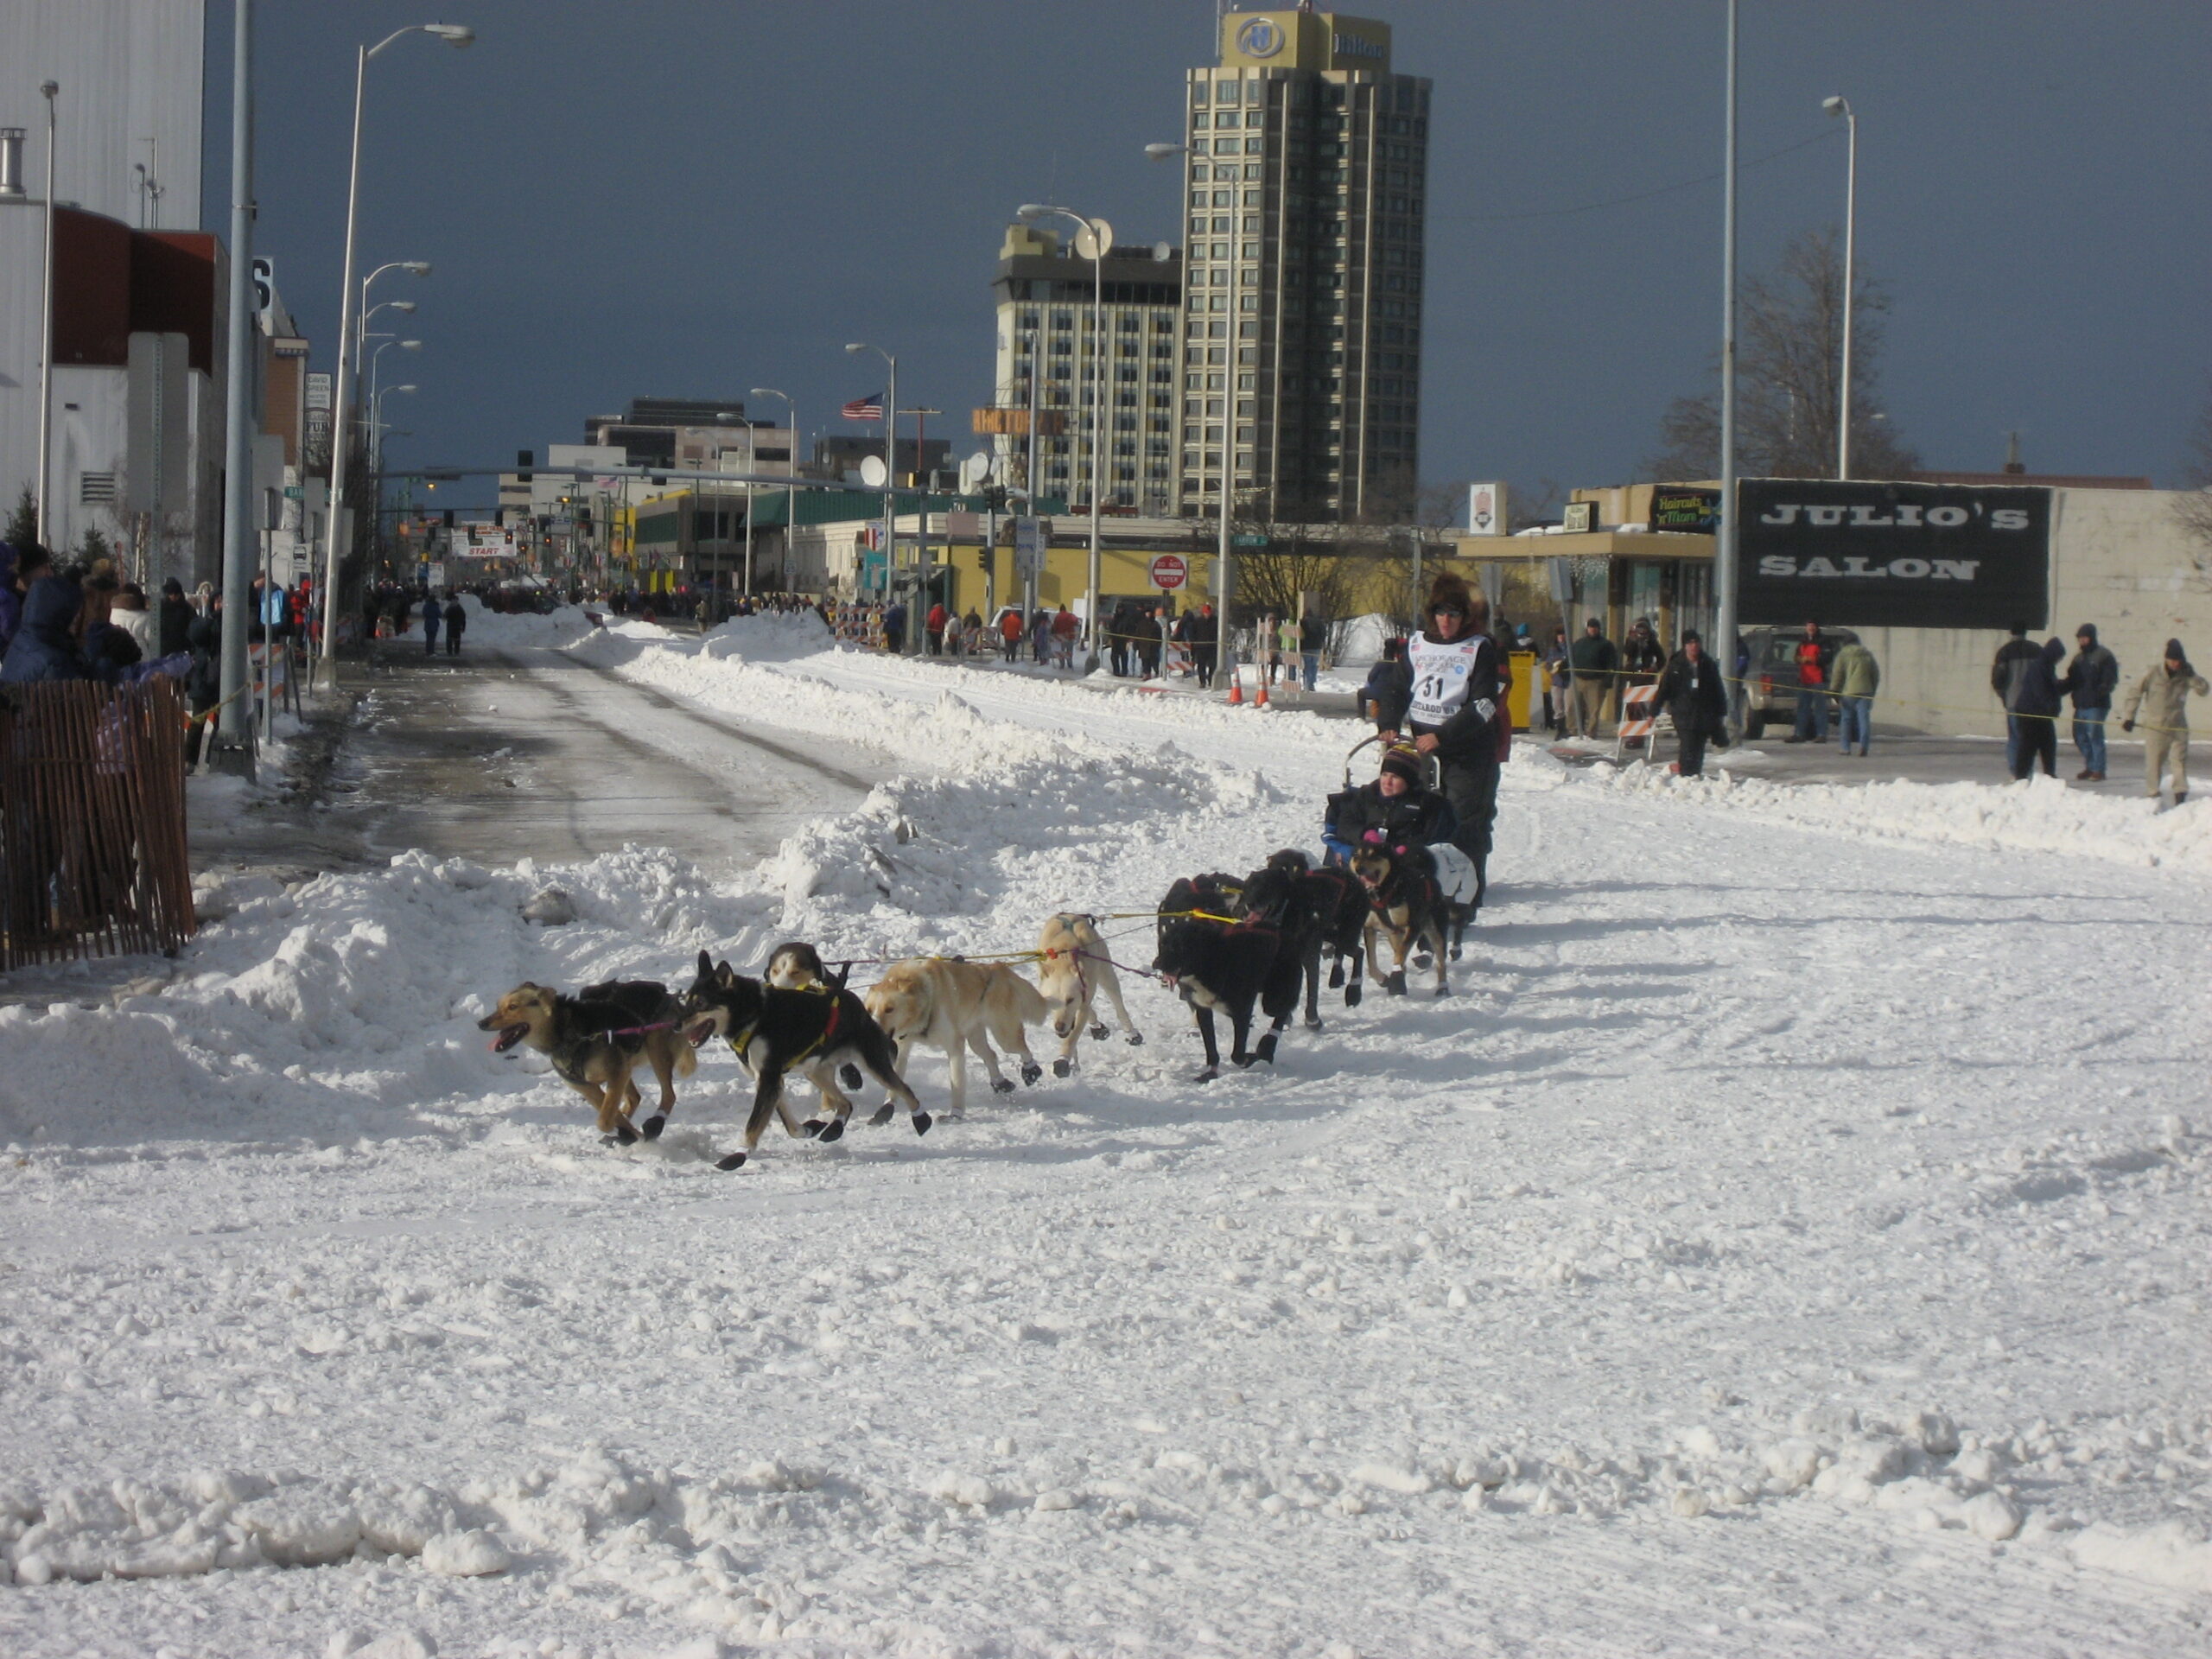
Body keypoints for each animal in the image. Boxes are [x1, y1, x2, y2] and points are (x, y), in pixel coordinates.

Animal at [862, 955, 1052, 1110]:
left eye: (889, 1009)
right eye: (869, 1010)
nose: (872, 1031)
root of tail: (998, 968)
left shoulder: (954, 1046)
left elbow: (957, 1080)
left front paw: (955, 1114)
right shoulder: (903, 1047)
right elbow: (896, 1079)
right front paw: (886, 1109)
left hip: (1005, 1035)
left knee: (1020, 1049)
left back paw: (1031, 1070)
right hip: (975, 1038)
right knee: (990, 1055)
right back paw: (1000, 1083)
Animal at [1030, 915, 1141, 1084]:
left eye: (1070, 999)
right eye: (1052, 1001)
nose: (1059, 1026)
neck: (1063, 956)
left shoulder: (1082, 1001)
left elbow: (1072, 1038)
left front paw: (1063, 1060)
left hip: (1106, 976)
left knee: (1118, 1006)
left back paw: (1131, 1033)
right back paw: (1097, 1026)